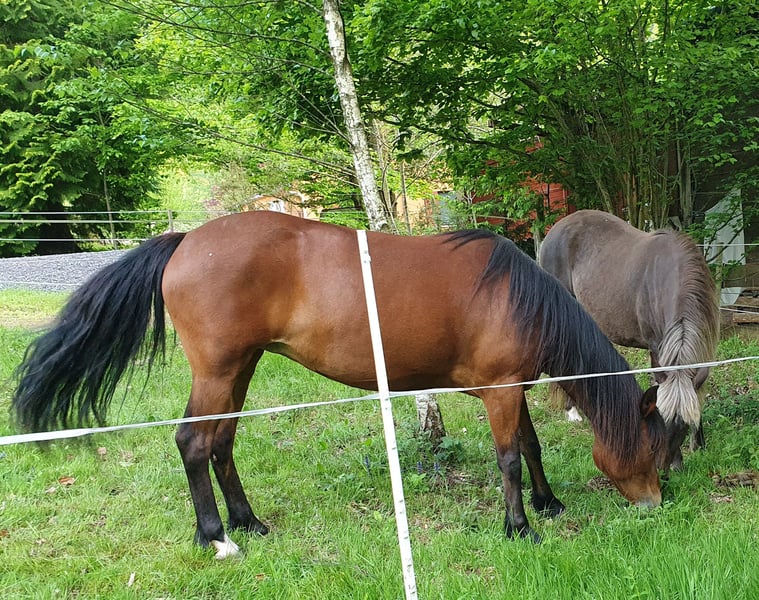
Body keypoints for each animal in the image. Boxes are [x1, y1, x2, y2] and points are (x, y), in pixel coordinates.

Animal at [12, 210, 664, 557]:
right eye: (651, 447)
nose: (657, 504)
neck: (519, 298)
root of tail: (186, 241)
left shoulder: (510, 391)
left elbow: (529, 446)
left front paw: (548, 504)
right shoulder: (502, 393)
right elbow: (508, 459)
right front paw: (519, 527)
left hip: (241, 370)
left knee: (222, 442)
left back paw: (248, 521)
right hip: (219, 371)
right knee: (194, 443)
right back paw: (217, 537)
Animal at [539, 209, 720, 472]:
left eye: (683, 425)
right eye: (661, 419)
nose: (664, 468)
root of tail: (554, 230)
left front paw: (700, 443)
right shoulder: (657, 348)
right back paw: (573, 412)